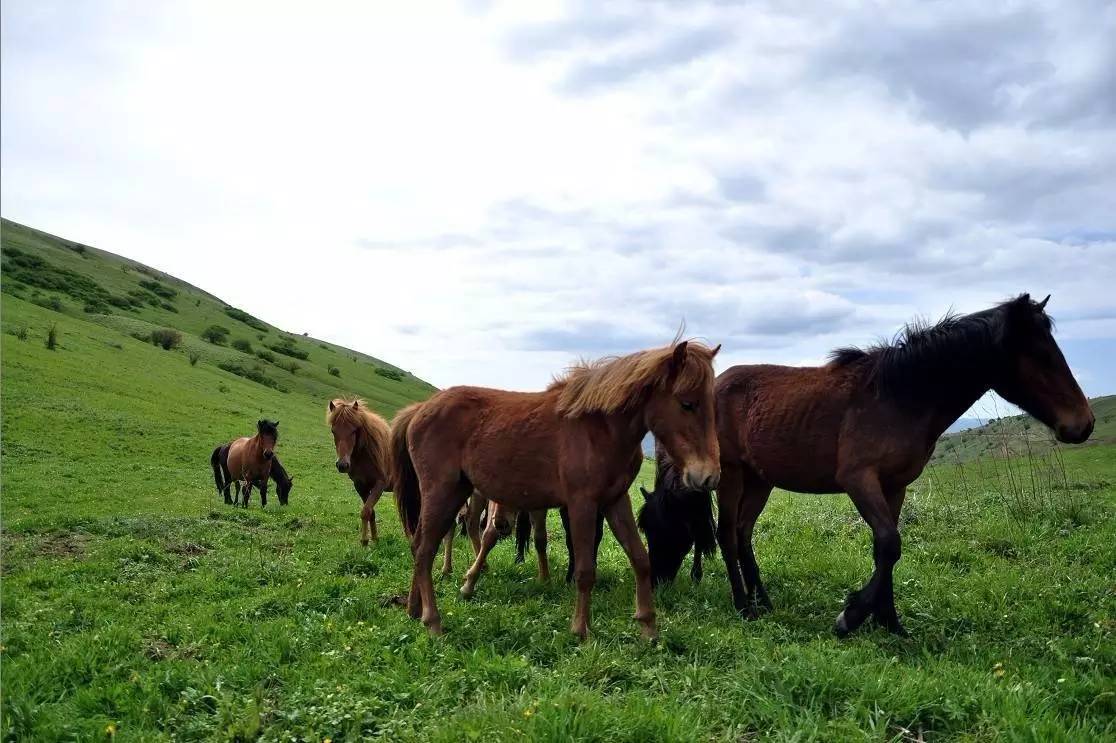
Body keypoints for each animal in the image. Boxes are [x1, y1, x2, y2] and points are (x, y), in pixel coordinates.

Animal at [327, 399, 392, 546]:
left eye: (354, 430)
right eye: (333, 431)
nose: (342, 465)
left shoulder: (379, 485)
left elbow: (366, 511)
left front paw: (364, 540)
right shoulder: (360, 486)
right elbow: (370, 512)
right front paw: (373, 539)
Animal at [391, 339, 721, 638]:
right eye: (687, 403)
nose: (708, 476)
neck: (599, 429)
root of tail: (420, 409)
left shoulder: (615, 501)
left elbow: (640, 559)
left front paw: (648, 627)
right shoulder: (581, 504)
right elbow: (585, 569)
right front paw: (581, 631)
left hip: (456, 492)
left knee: (421, 544)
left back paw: (413, 608)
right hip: (442, 492)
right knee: (425, 549)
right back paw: (433, 621)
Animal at [641, 294, 1094, 637]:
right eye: (1041, 355)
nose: (1083, 424)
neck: (899, 396)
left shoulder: (895, 486)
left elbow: (886, 549)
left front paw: (889, 622)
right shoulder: (860, 480)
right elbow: (889, 544)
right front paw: (852, 616)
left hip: (759, 480)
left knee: (743, 532)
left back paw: (763, 601)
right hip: (733, 475)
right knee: (728, 535)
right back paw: (743, 606)